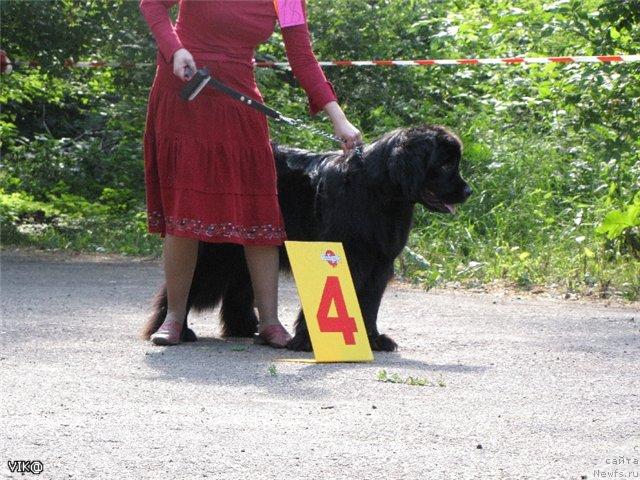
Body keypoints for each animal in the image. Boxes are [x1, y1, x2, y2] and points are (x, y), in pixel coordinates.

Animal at [146, 124, 476, 352]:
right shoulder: (346, 256)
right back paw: (172, 330)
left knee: (240, 285)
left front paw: (373, 339)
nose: (468, 191)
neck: (377, 190)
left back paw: (247, 328)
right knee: (186, 280)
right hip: (218, 251)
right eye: (445, 164)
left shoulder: (378, 264)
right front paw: (308, 341)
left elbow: (369, 304)